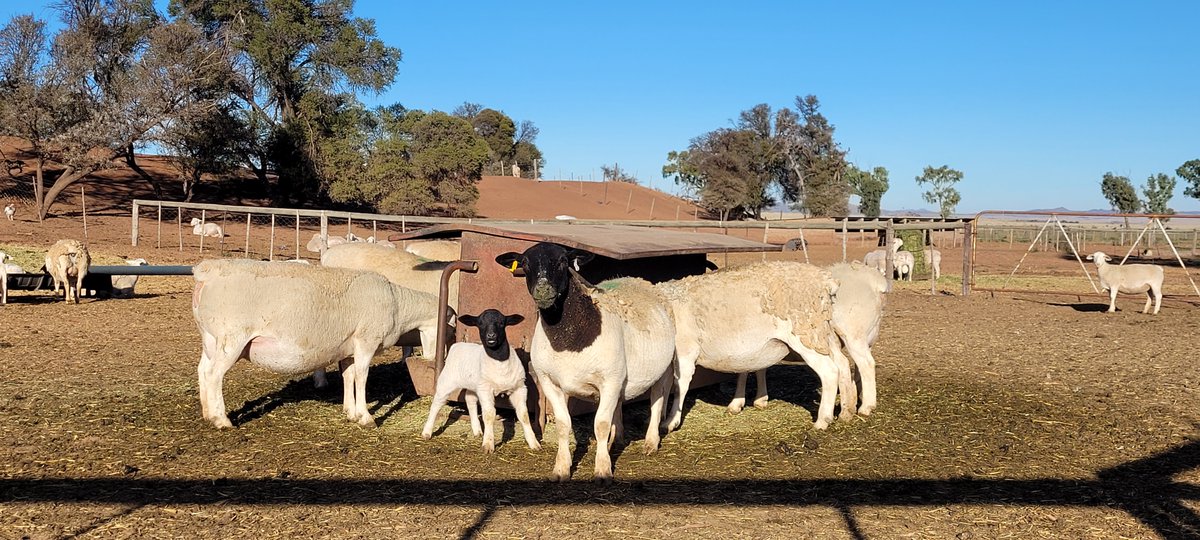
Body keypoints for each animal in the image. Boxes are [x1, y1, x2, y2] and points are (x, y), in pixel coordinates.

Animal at [191, 259, 442, 428]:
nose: (432, 358)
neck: (398, 304)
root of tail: (206, 273)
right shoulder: (366, 341)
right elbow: (362, 377)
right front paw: (366, 417)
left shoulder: (348, 347)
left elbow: (348, 376)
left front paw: (350, 412)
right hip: (232, 337)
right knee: (214, 375)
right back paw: (222, 420)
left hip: (210, 338)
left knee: (203, 370)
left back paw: (207, 414)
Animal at [421, 309, 540, 453]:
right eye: (480, 324)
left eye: (501, 323)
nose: (491, 336)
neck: (500, 362)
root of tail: (457, 345)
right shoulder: (485, 389)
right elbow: (489, 414)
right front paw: (488, 445)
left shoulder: (519, 388)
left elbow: (524, 415)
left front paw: (534, 443)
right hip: (447, 381)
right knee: (436, 404)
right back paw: (427, 432)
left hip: (473, 385)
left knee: (470, 400)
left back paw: (477, 431)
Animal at [495, 243, 676, 483]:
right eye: (525, 263)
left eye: (563, 261)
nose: (543, 290)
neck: (569, 338)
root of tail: (637, 279)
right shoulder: (549, 382)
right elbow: (564, 425)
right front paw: (561, 469)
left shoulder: (609, 380)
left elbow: (600, 425)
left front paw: (602, 470)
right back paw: (616, 439)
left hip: (664, 368)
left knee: (657, 399)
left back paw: (651, 442)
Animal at [659, 261, 844, 432]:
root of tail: (826, 280)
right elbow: (664, 387)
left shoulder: (685, 351)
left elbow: (679, 385)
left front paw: (671, 421)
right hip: (821, 333)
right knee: (842, 363)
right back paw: (846, 411)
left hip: (805, 334)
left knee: (829, 371)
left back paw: (822, 421)